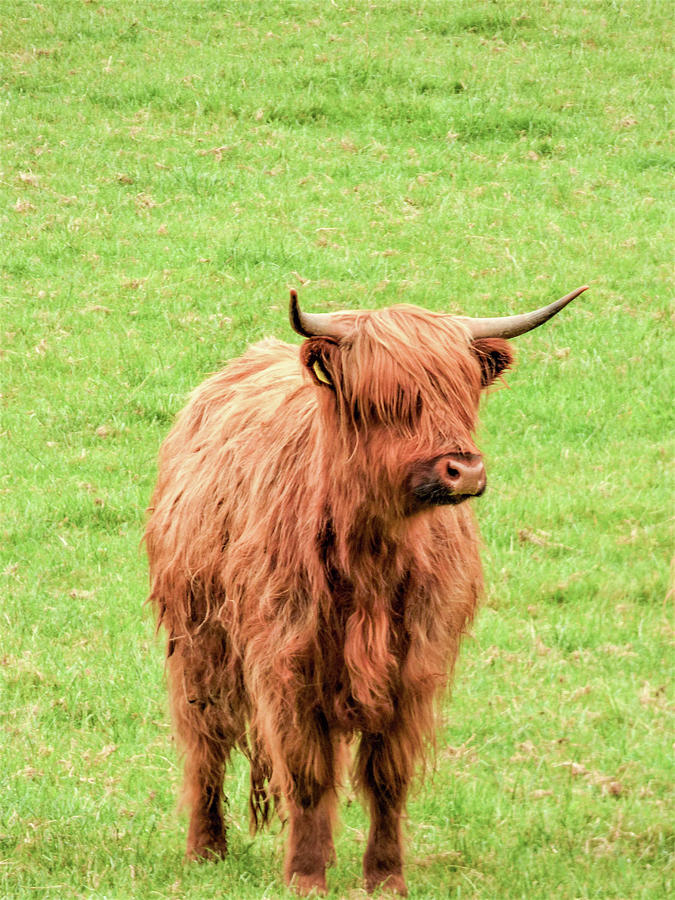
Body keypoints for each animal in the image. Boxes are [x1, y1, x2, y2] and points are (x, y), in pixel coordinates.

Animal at [145, 286, 588, 892]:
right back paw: (206, 849)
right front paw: (306, 877)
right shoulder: (287, 662)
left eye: (464, 390)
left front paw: (384, 878)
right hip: (198, 644)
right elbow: (306, 774)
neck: (373, 557)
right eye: (388, 397)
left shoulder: (416, 667)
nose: (464, 471)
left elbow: (387, 777)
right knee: (205, 744)